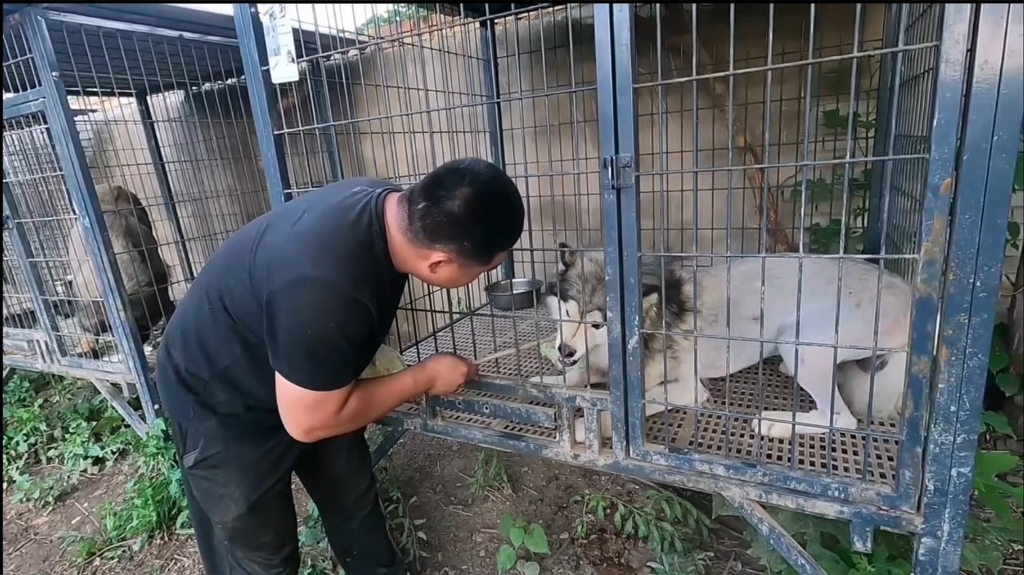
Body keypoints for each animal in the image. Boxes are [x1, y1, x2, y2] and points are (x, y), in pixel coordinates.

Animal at [532, 243, 917, 439]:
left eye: (598, 325)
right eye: (567, 311)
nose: (565, 350)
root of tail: (912, 296)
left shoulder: (688, 389)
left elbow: (628, 406)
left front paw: (583, 426)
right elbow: (577, 375)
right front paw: (548, 379)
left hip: (803, 345)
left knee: (842, 418)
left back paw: (778, 423)